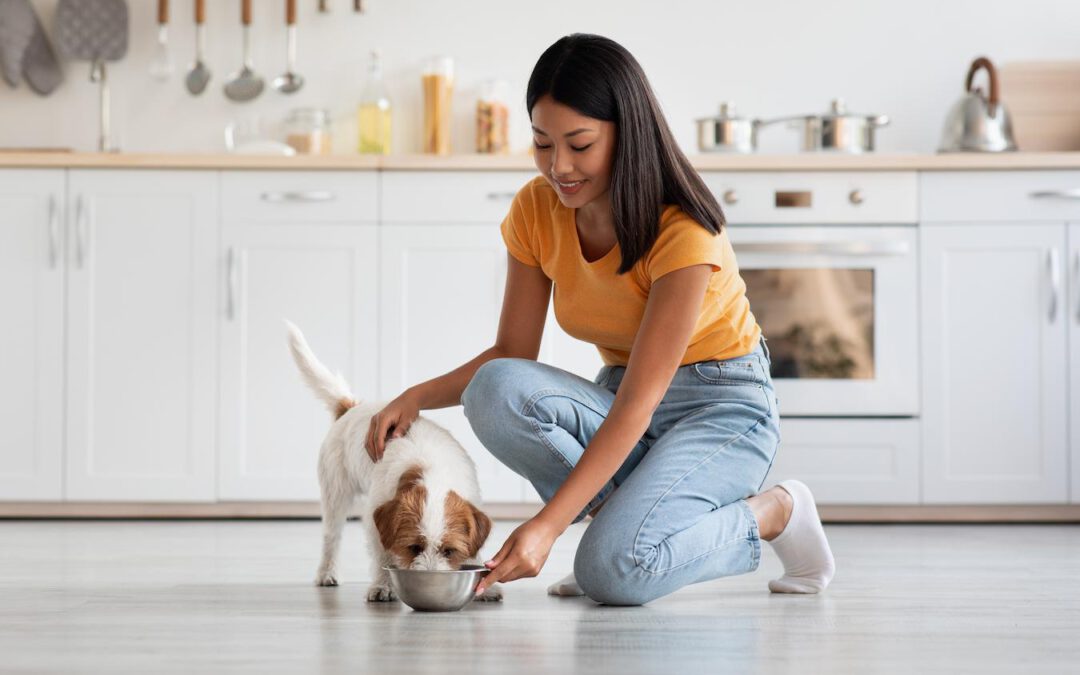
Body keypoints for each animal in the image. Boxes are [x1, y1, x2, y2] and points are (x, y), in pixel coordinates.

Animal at [282, 317, 501, 604]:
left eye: (449, 551)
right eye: (414, 547)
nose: (431, 579)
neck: (433, 472)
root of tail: (351, 407)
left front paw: (486, 586)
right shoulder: (376, 519)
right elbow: (382, 555)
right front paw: (383, 585)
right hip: (335, 494)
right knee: (331, 536)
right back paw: (327, 573)